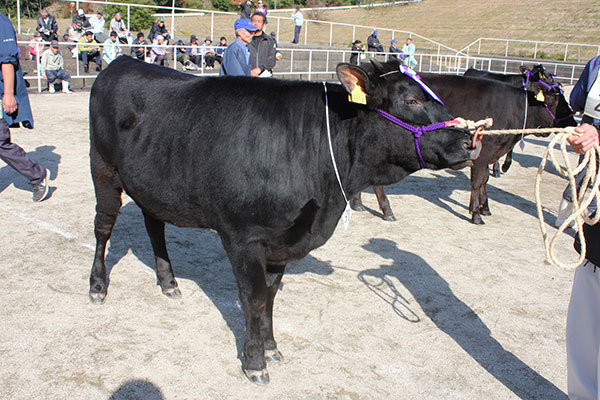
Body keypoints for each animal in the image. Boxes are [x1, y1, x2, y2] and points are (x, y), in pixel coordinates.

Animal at [89, 56, 480, 384]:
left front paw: (272, 347)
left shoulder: (281, 242)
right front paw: (254, 362)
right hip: (103, 170)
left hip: (152, 185)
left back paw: (168, 281)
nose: (471, 141)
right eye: (411, 101)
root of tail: (122, 61)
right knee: (103, 227)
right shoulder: (243, 237)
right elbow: (254, 299)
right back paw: (97, 286)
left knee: (154, 225)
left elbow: (272, 296)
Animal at [352, 67, 572, 227]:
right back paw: (386, 210)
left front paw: (485, 207)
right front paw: (476, 213)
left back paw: (359, 203)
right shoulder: (483, 153)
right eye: (553, 97)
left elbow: (485, 181)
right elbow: (477, 182)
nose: (573, 121)